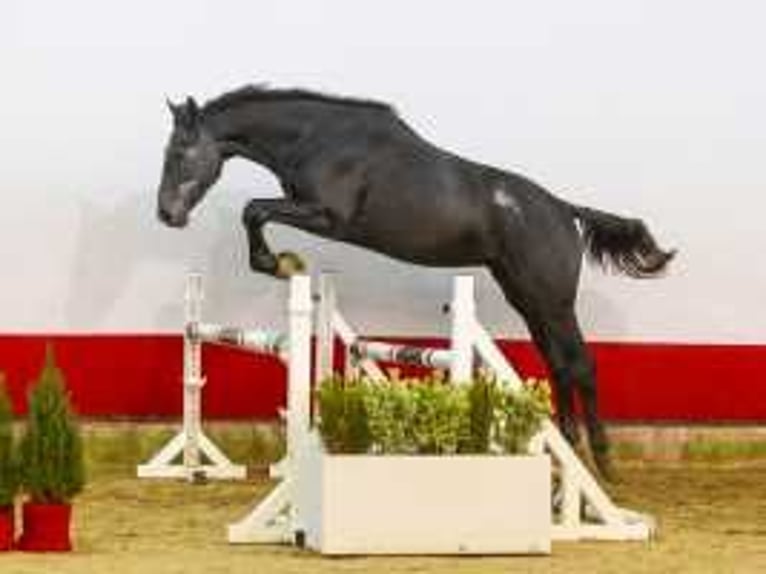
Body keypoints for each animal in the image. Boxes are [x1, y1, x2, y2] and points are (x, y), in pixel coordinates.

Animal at [158, 86, 680, 482]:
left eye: (180, 152)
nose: (167, 215)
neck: (316, 138)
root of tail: (564, 209)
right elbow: (257, 211)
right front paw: (281, 262)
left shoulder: (328, 216)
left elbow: (254, 210)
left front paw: (277, 262)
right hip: (527, 299)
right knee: (559, 366)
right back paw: (567, 452)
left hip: (552, 302)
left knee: (581, 366)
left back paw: (602, 463)